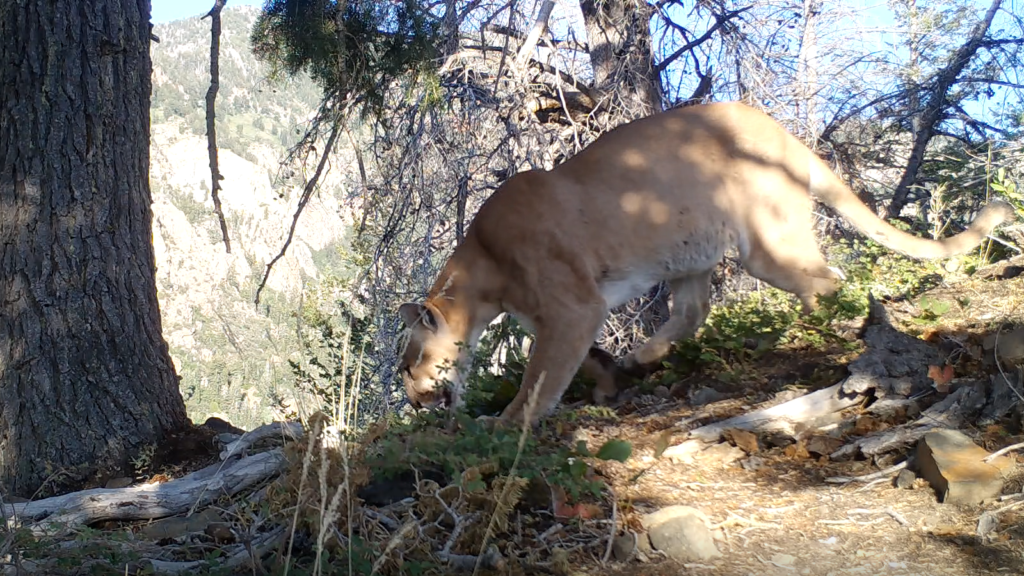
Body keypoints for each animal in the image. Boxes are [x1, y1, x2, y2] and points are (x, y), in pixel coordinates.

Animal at [395, 100, 1011, 426]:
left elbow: (539, 377)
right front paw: (608, 381)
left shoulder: (571, 307)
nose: (416, 400)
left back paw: (808, 333)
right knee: (696, 309)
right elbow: (579, 359)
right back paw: (644, 355)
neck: (484, 275)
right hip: (687, 252)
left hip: (766, 242)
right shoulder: (570, 313)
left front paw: (507, 423)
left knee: (828, 279)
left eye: (409, 363)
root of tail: (783, 133)